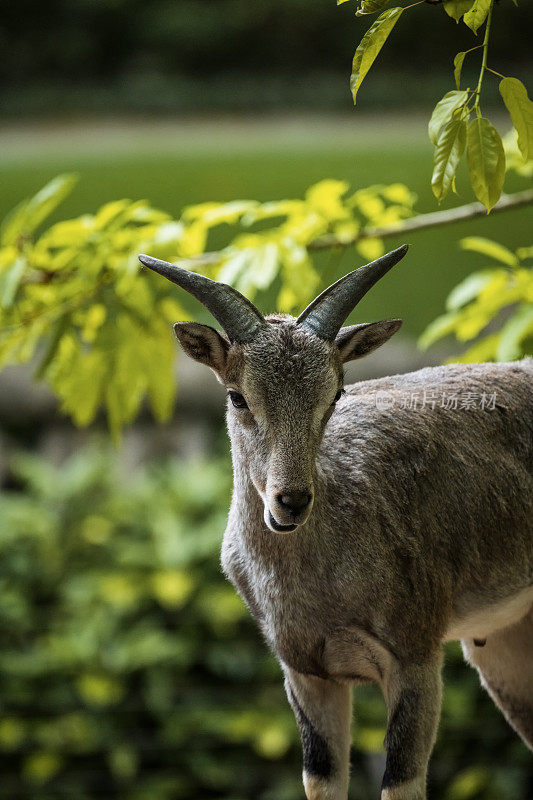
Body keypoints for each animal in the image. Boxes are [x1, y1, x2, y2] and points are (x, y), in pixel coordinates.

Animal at [138, 247, 532, 800]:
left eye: (336, 394)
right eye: (238, 395)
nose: (291, 501)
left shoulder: (415, 657)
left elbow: (400, 781)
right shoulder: (306, 673)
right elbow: (321, 777)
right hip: (505, 642)